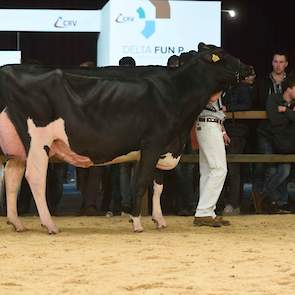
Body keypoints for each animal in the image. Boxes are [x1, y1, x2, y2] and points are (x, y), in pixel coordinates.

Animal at [0, 43, 254, 234]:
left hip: (18, 147)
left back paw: (17, 223)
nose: (250, 67)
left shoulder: (162, 146)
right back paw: (49, 224)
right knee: (34, 177)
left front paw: (159, 220)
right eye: (222, 56)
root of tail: (8, 68)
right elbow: (141, 182)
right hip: (37, 139)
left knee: (13, 176)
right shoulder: (152, 143)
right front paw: (137, 222)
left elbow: (158, 185)